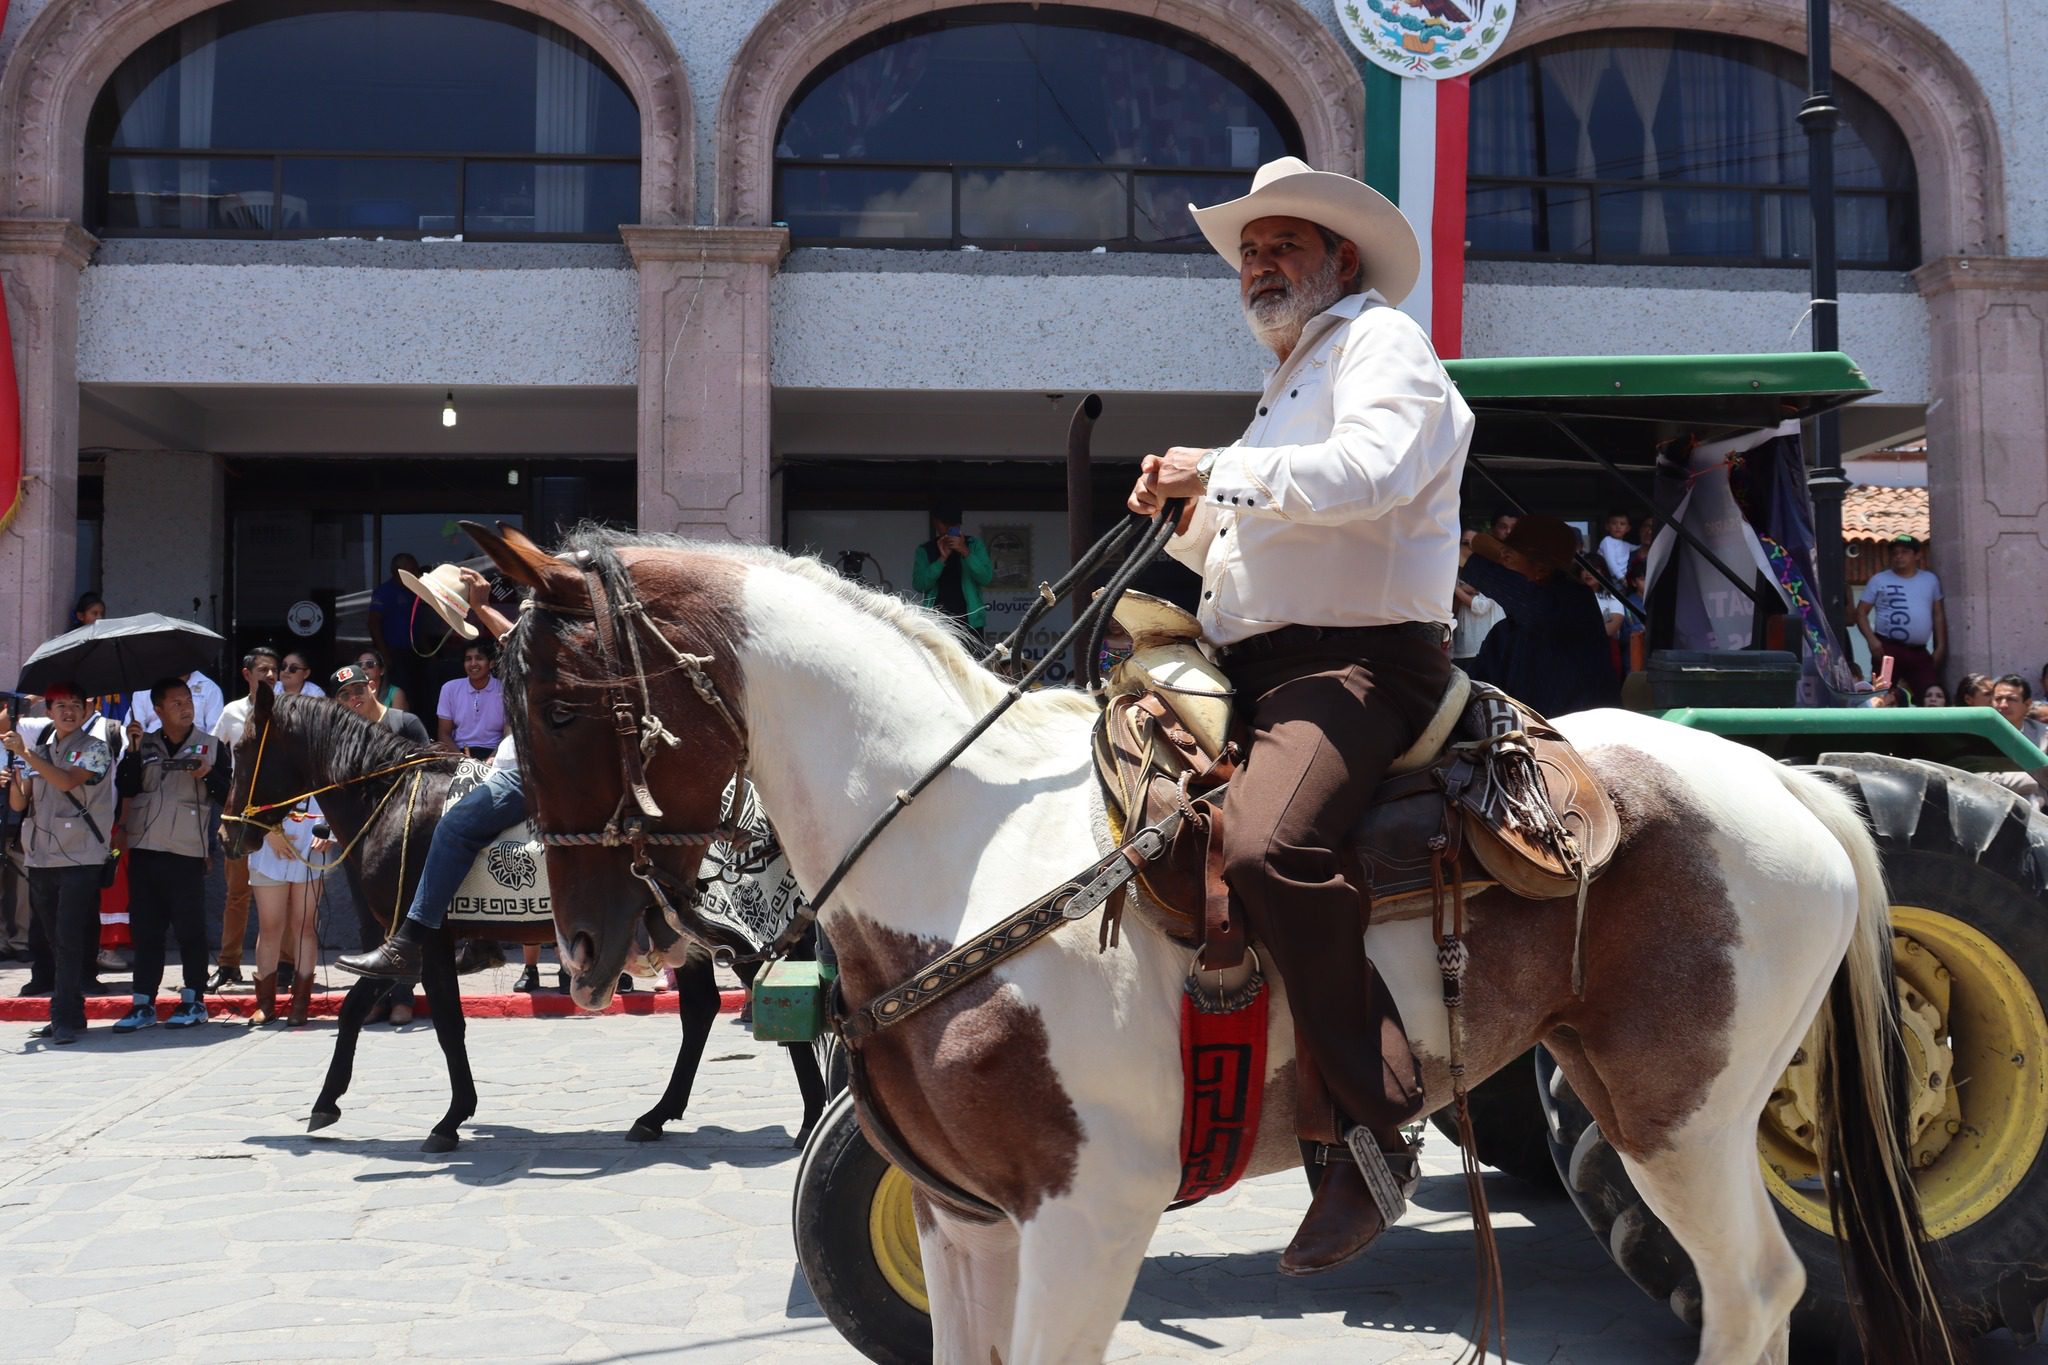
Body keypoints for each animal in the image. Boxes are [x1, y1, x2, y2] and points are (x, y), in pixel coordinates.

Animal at [220, 683, 827, 1154]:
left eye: (244, 746)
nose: (228, 834)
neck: (389, 801)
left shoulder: (426, 936)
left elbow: (448, 1025)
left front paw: (450, 1119)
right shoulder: (402, 943)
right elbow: (352, 1009)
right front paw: (326, 1103)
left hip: (733, 931)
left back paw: (811, 1119)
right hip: (682, 932)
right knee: (700, 1010)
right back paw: (656, 1117)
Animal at [475, 527, 1949, 1365]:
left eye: (561, 703)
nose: (592, 946)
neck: (957, 846)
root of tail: (1789, 780)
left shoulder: (1086, 1212)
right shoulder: (962, 1218)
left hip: (1677, 1113)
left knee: (1752, 1294)